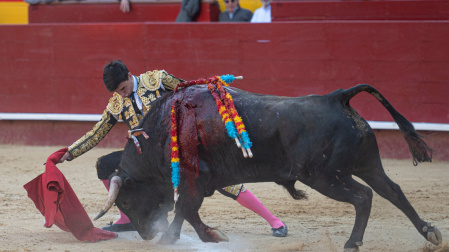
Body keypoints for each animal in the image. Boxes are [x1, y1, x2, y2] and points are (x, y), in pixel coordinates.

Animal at [93, 84, 440, 250]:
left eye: (126, 201)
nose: (145, 233)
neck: (163, 131)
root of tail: (335, 97)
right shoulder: (201, 182)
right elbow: (185, 210)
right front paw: (187, 237)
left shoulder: (196, 179)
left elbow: (186, 209)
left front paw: (194, 237)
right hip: (367, 165)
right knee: (392, 191)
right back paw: (430, 232)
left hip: (325, 176)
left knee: (363, 197)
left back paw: (352, 243)